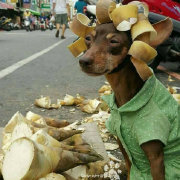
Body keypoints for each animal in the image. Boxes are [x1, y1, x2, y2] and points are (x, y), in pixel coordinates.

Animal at [79, 20, 174, 180]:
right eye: (88, 38)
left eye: (114, 41)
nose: (83, 60)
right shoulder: (123, 145)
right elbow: (129, 170)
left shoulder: (156, 158)